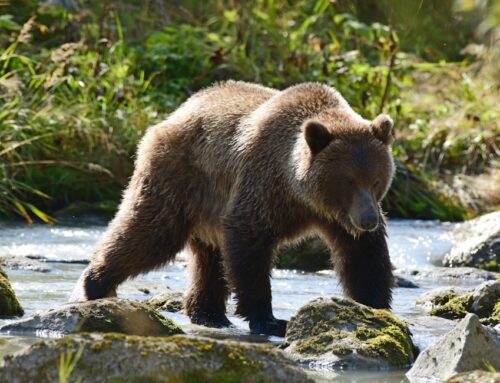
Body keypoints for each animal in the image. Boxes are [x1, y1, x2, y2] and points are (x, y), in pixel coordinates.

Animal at [81, 80, 394, 336]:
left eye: (376, 180)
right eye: (348, 180)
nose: (368, 219)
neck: (300, 193)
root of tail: (175, 114)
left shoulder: (337, 217)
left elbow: (362, 256)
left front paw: (375, 307)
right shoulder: (264, 186)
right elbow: (249, 242)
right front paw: (269, 319)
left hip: (206, 205)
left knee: (208, 258)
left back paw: (208, 313)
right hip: (179, 178)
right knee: (150, 232)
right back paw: (96, 283)